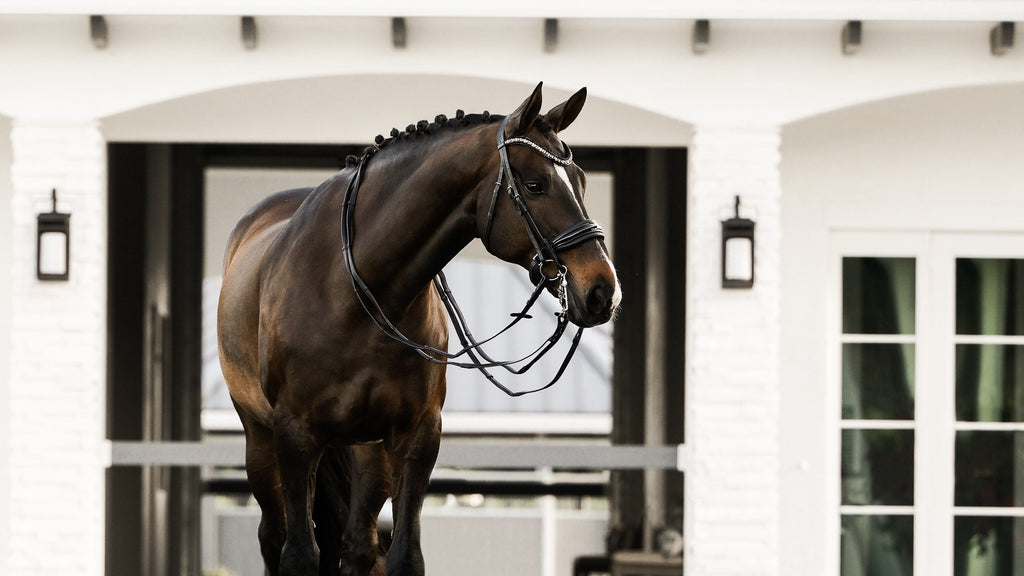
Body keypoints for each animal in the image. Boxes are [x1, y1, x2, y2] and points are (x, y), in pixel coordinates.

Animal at [216, 82, 621, 576]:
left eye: (580, 180)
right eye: (534, 185)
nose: (602, 291)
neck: (352, 292)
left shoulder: (417, 437)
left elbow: (405, 554)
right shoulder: (295, 435)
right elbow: (298, 556)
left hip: (368, 450)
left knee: (359, 545)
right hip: (261, 439)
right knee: (273, 538)